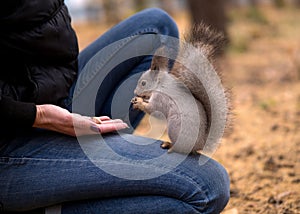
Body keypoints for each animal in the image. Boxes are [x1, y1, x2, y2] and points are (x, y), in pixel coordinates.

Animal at [130, 23, 229, 154]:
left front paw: (140, 103)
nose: (135, 92)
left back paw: (170, 146)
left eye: (143, 83)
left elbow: (154, 110)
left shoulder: (161, 98)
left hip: (175, 126)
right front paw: (136, 100)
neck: (160, 85)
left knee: (182, 149)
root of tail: (199, 145)